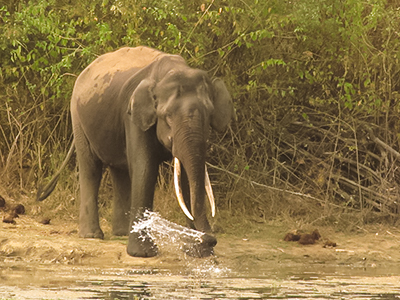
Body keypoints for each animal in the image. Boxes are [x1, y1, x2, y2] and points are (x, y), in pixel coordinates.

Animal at [37, 46, 234, 258]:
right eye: (168, 116)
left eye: (208, 115)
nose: (210, 240)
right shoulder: (133, 117)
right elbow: (144, 168)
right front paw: (143, 253)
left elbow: (185, 177)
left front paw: (196, 252)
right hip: (78, 117)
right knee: (91, 168)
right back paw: (92, 235)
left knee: (119, 171)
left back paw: (122, 232)